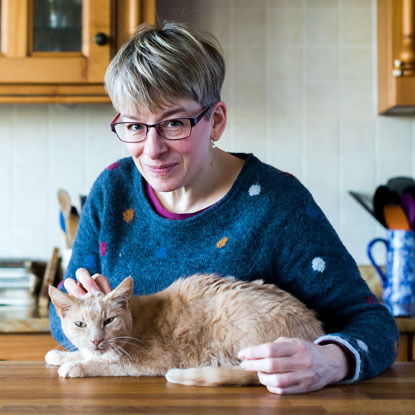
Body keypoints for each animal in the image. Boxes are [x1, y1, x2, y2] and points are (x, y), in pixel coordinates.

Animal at [46, 276, 324, 386]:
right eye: (80, 324)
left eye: (109, 321)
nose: (96, 340)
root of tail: (313, 329)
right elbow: (83, 353)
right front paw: (62, 355)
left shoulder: (147, 362)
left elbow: (105, 365)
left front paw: (75, 366)